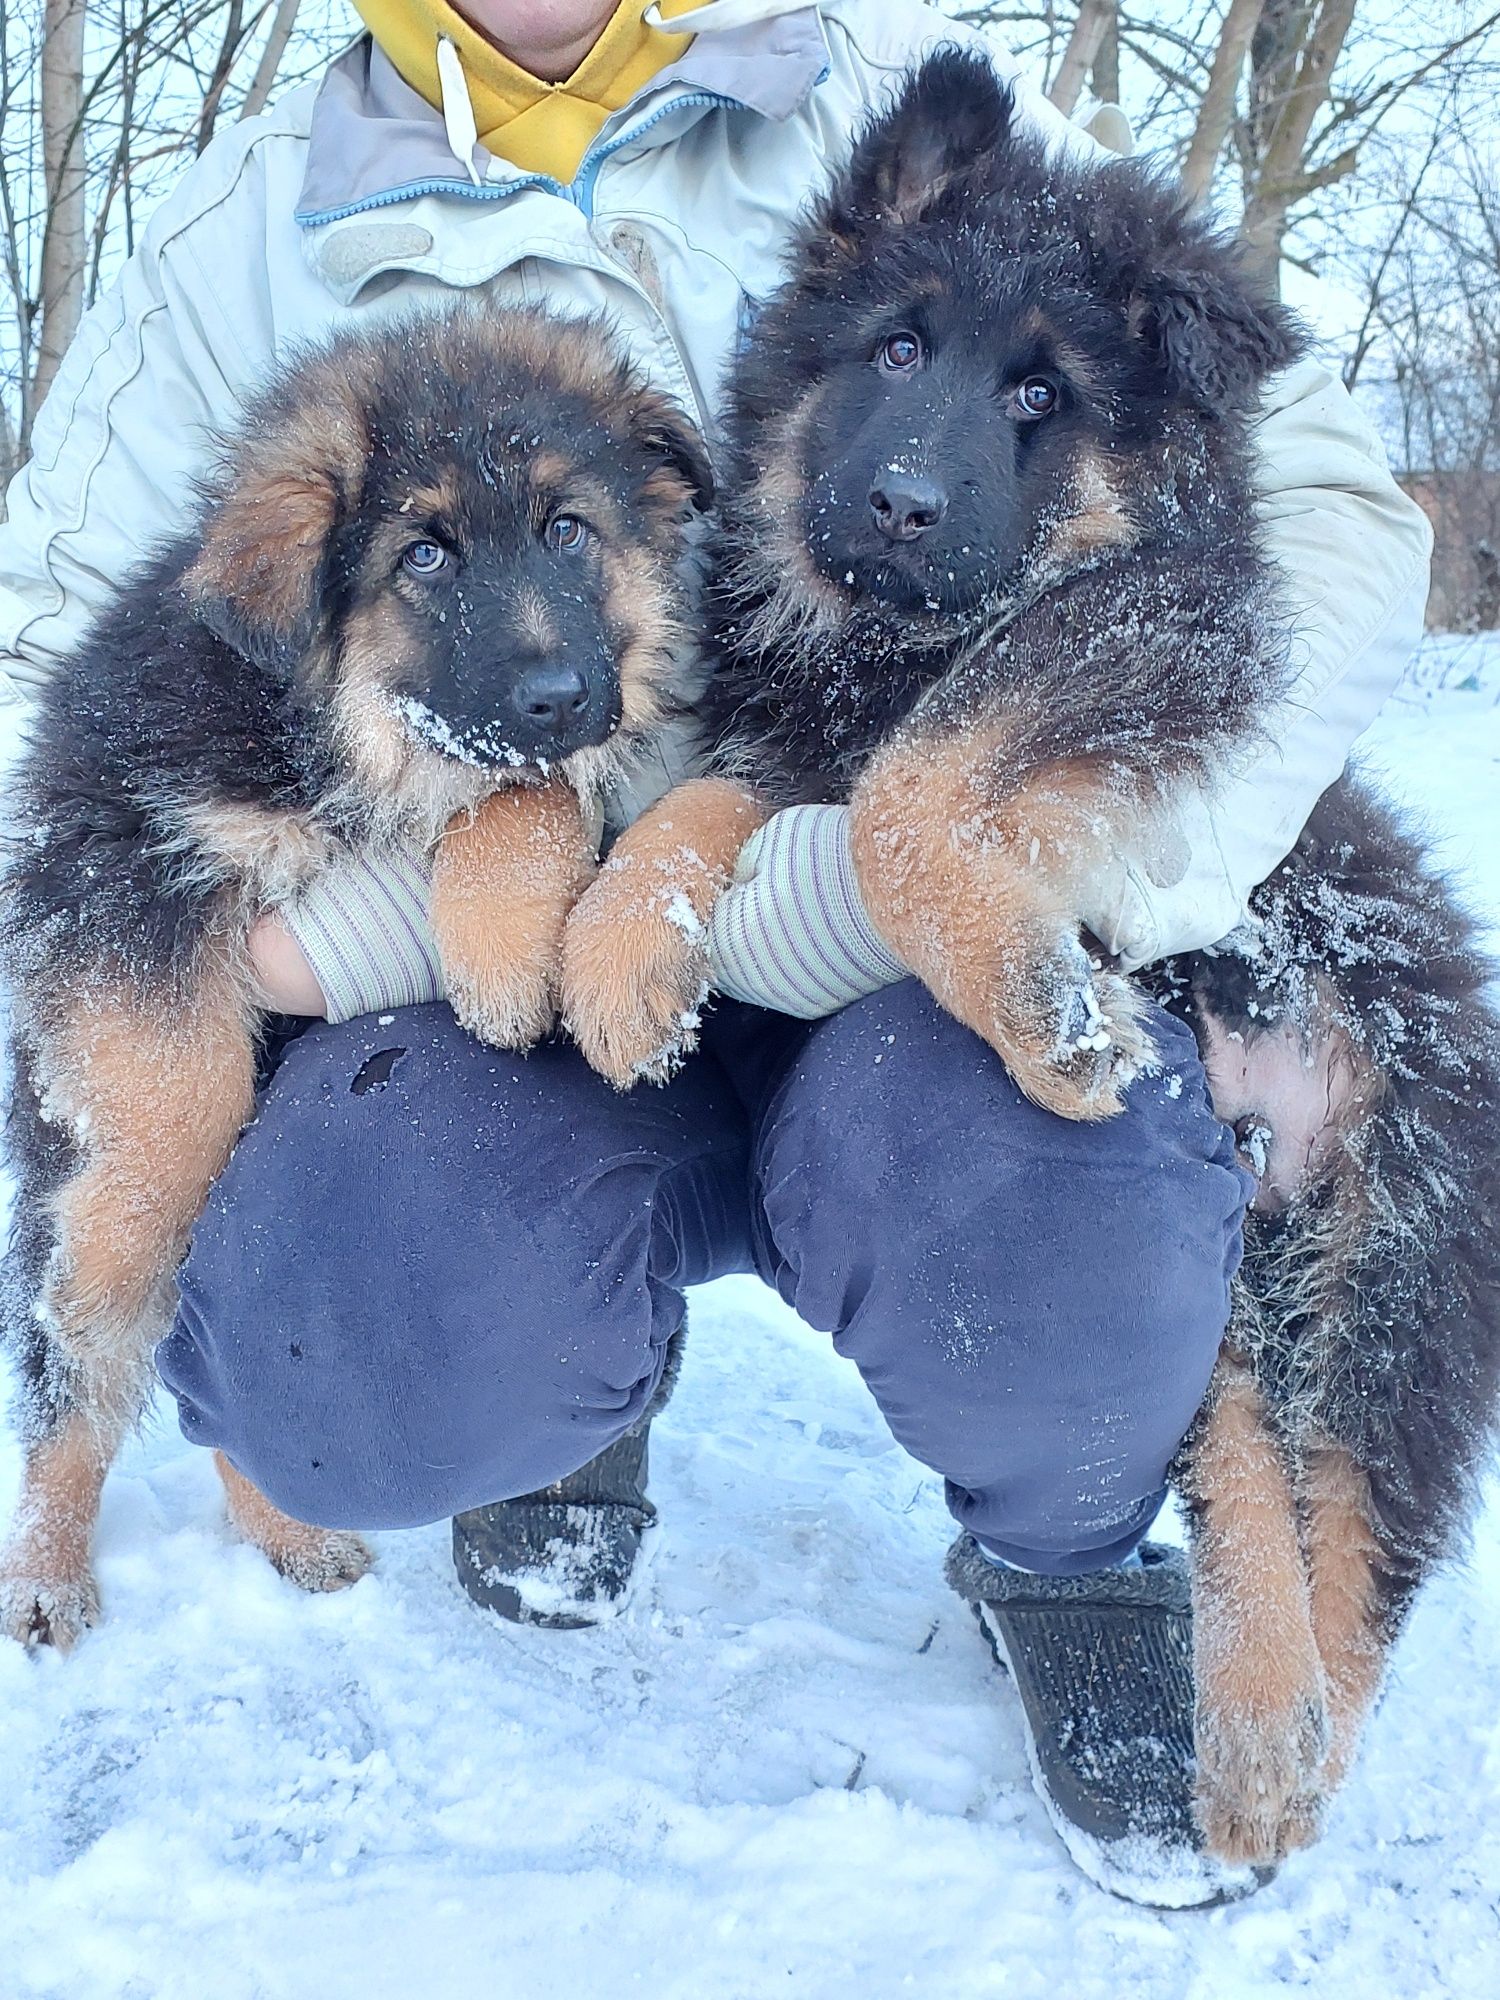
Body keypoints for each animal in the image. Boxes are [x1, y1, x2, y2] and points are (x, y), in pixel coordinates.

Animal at [0, 304, 716, 1648]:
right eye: (422, 557)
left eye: (568, 528)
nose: (562, 696)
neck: (325, 729)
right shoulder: (118, 858)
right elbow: (176, 1097)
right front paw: (138, 1184)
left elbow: (522, 786)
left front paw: (501, 940)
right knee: (81, 1364)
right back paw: (44, 1572)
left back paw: (286, 1531)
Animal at [564, 50, 1500, 1872]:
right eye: (894, 350)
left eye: (1041, 396)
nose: (899, 506)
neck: (875, 639)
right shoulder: (794, 741)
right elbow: (726, 797)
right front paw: (619, 949)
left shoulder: (1159, 616)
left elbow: (915, 784)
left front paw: (1034, 999)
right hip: (1245, 1249)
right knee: (1250, 1462)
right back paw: (1254, 1714)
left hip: (1400, 1253)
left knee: (1360, 1528)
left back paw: (1279, 1755)